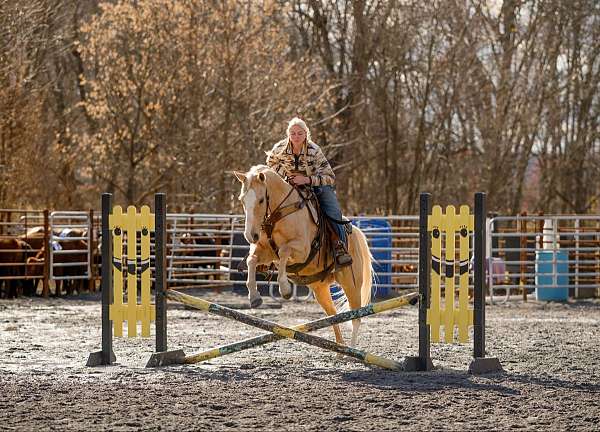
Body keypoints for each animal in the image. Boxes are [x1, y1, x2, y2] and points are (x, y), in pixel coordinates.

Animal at [233, 164, 370, 346]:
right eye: (242, 200)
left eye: (261, 200)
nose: (250, 236)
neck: (281, 213)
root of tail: (354, 231)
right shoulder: (265, 252)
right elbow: (252, 260)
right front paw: (254, 297)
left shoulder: (302, 250)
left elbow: (283, 251)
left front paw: (285, 288)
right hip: (320, 288)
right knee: (333, 315)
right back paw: (340, 346)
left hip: (351, 284)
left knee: (355, 316)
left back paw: (353, 348)